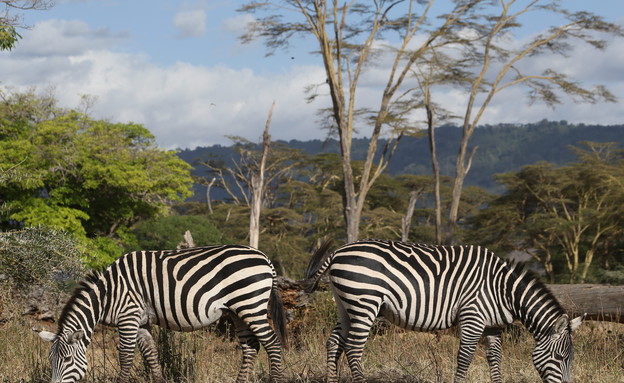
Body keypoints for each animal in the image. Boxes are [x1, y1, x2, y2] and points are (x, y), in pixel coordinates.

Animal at [34, 246, 288, 383]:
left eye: (67, 360)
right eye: (50, 360)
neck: (108, 295)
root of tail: (264, 258)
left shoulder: (128, 317)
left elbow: (126, 357)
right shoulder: (141, 322)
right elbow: (151, 355)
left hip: (251, 304)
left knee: (272, 344)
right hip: (237, 310)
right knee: (250, 347)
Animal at [304, 240, 584, 383]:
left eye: (571, 358)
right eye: (560, 358)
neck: (503, 290)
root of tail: (339, 251)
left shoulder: (493, 326)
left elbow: (495, 359)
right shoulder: (473, 317)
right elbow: (465, 358)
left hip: (346, 304)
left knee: (334, 342)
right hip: (364, 302)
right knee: (353, 347)